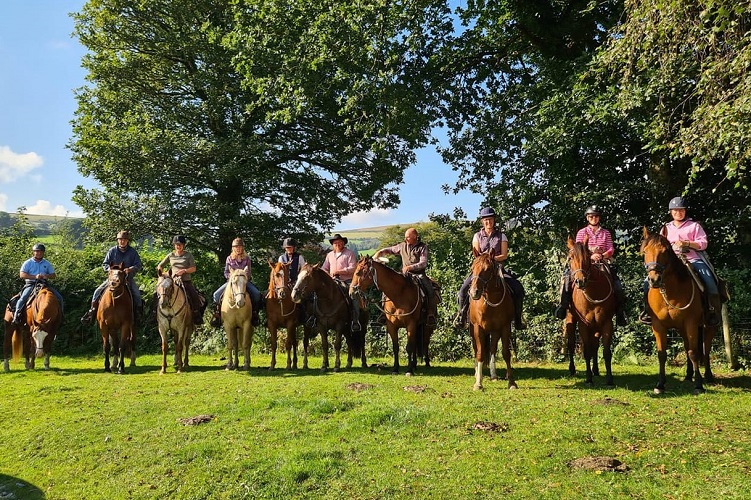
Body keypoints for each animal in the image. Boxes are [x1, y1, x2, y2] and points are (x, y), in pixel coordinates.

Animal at [468, 252, 516, 388]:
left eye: (488, 269)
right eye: (472, 268)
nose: (474, 292)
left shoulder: (505, 326)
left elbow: (505, 353)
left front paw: (512, 383)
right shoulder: (478, 328)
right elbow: (480, 353)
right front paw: (478, 383)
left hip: (495, 331)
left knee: (493, 349)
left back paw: (493, 375)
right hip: (473, 330)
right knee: (477, 349)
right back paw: (477, 374)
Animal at [564, 238, 616, 386]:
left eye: (588, 257)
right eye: (570, 257)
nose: (580, 281)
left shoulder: (606, 323)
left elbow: (605, 352)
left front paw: (609, 379)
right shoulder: (584, 325)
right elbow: (586, 352)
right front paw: (588, 378)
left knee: (595, 346)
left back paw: (596, 370)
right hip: (570, 319)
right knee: (571, 344)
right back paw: (572, 369)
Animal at [640, 228, 716, 394]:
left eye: (665, 251)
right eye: (644, 251)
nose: (654, 280)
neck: (670, 292)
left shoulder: (691, 323)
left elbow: (694, 352)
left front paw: (698, 384)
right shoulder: (658, 325)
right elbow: (662, 354)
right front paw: (660, 384)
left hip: (708, 326)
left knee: (705, 349)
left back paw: (708, 376)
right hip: (682, 329)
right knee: (688, 347)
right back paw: (688, 375)